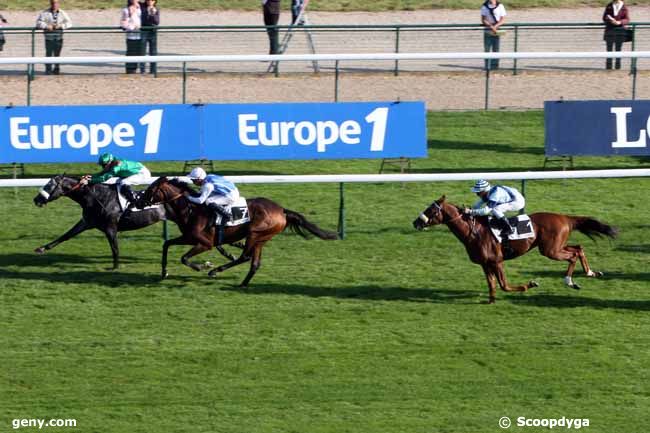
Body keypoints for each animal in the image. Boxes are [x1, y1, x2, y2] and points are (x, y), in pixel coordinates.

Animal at [32, 174, 166, 268]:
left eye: (49, 185)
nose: (36, 200)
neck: (98, 197)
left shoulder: (110, 228)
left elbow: (114, 248)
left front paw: (115, 267)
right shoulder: (86, 222)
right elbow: (66, 235)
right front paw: (42, 248)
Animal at [139, 174, 336, 286]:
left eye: (151, 189)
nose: (138, 201)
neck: (191, 210)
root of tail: (282, 210)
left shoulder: (205, 243)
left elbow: (184, 258)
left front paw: (201, 266)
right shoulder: (188, 237)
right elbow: (166, 244)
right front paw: (164, 272)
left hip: (255, 233)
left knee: (245, 257)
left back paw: (215, 271)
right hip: (261, 238)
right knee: (254, 263)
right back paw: (242, 284)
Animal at [412, 196, 616, 304]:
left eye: (431, 210)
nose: (415, 222)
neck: (474, 232)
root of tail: (565, 218)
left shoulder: (497, 261)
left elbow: (504, 285)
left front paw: (529, 285)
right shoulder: (485, 264)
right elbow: (492, 284)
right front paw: (491, 300)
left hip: (550, 250)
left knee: (573, 255)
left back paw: (570, 281)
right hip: (554, 246)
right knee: (579, 248)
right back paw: (590, 272)